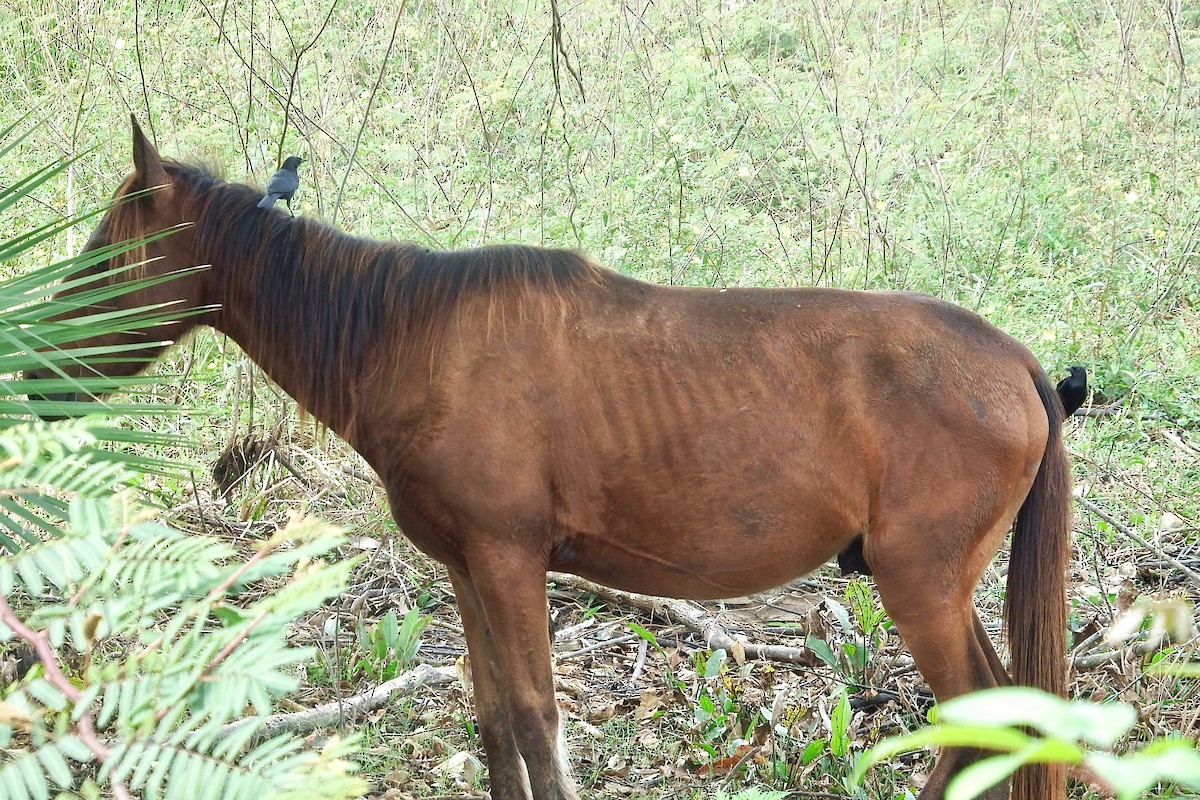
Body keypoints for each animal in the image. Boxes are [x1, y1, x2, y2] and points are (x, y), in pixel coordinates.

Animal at [32, 117, 1075, 800]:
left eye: (105, 261)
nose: (36, 372)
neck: (401, 338)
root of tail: (1018, 364)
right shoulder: (467, 567)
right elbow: (495, 718)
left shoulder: (508, 560)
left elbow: (537, 717)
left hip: (917, 579)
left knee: (983, 720)